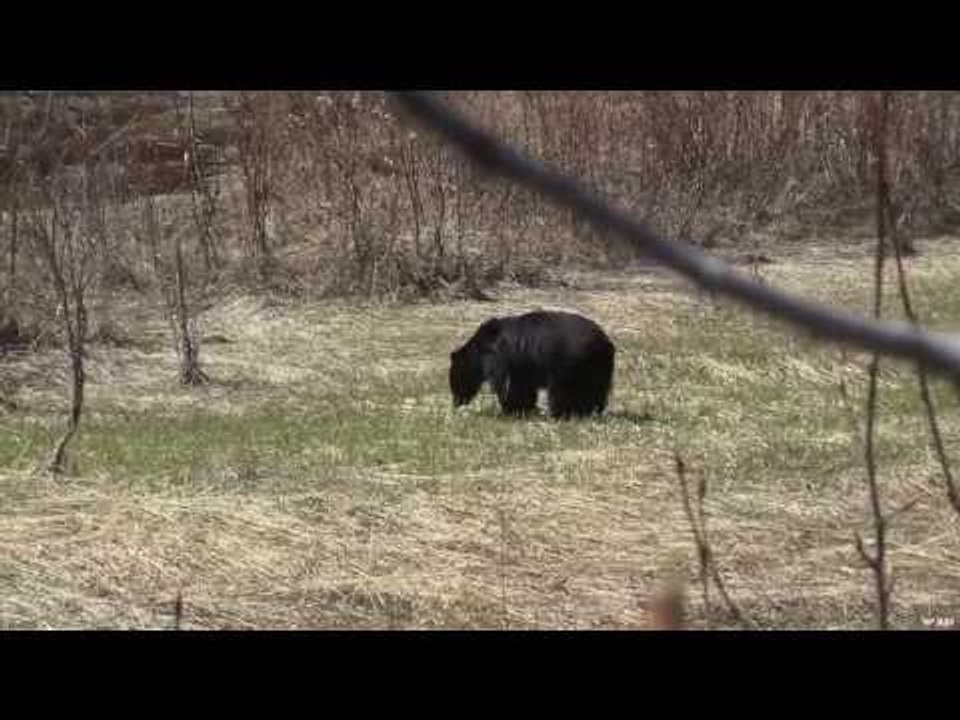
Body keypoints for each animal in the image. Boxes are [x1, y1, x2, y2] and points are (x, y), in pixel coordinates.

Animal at [449, 310, 615, 419]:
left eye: (454, 383)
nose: (456, 404)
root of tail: (605, 343)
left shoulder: (504, 359)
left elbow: (510, 387)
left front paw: (509, 410)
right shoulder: (524, 367)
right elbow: (523, 388)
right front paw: (523, 410)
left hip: (570, 364)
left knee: (564, 391)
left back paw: (561, 413)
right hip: (598, 367)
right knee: (595, 390)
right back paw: (590, 411)